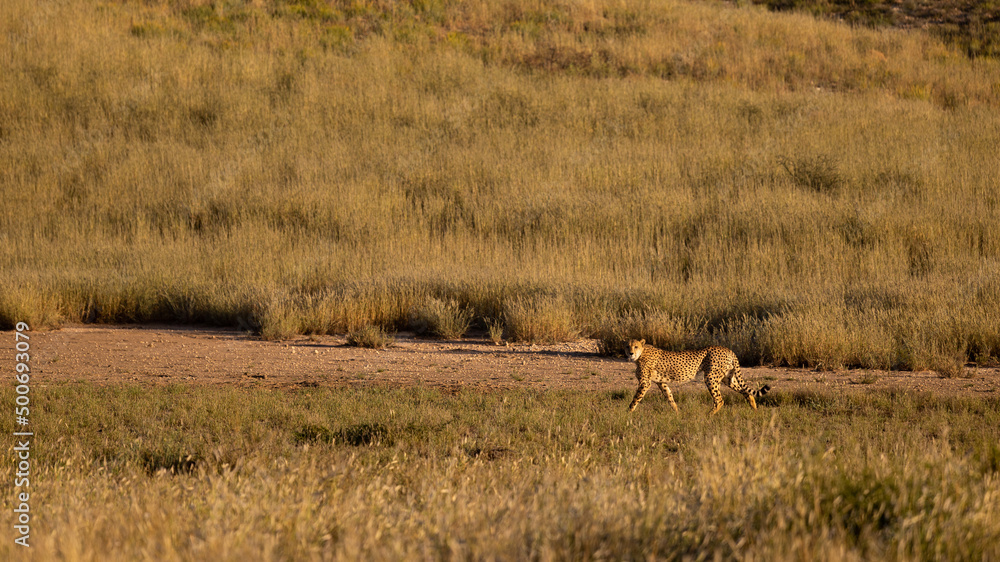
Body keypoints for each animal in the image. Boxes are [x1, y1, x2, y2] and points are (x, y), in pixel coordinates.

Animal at [626, 339, 770, 415]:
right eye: (627, 346)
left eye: (636, 346)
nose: (630, 353)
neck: (641, 353)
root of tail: (727, 348)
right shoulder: (661, 383)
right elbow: (670, 397)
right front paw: (677, 413)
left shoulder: (645, 383)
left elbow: (635, 399)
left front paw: (628, 413)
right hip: (728, 378)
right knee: (746, 392)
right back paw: (755, 410)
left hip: (711, 377)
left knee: (719, 400)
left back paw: (709, 415)